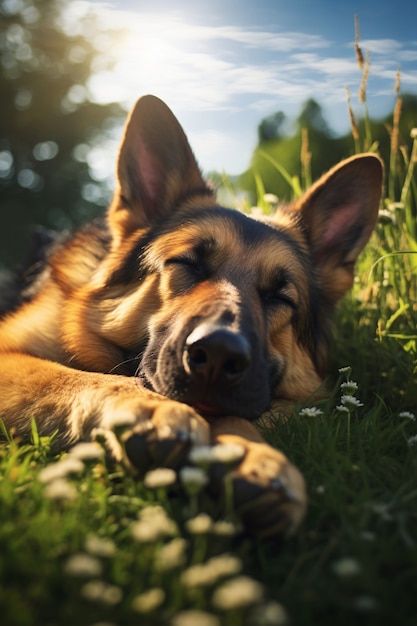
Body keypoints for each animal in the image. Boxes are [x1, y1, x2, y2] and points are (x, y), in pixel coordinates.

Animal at [0, 96, 384, 536]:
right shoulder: (11, 353)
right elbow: (80, 377)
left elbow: (240, 414)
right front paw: (152, 408)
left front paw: (253, 456)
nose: (218, 355)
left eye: (278, 296)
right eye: (188, 263)